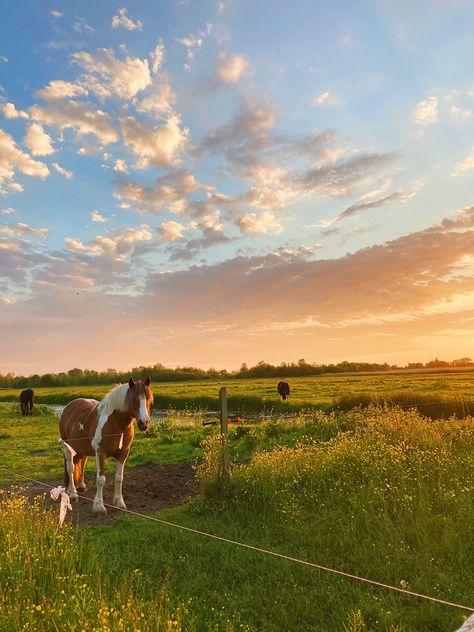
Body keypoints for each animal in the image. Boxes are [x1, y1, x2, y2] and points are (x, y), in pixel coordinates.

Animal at [58, 376, 153, 512]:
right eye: (134, 399)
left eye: (149, 399)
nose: (144, 423)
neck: (116, 424)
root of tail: (68, 407)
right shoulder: (100, 453)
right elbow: (101, 479)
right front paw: (99, 506)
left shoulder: (123, 453)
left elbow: (119, 477)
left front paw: (119, 502)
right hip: (68, 447)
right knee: (70, 468)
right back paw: (73, 493)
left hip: (82, 449)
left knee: (81, 464)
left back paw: (81, 486)